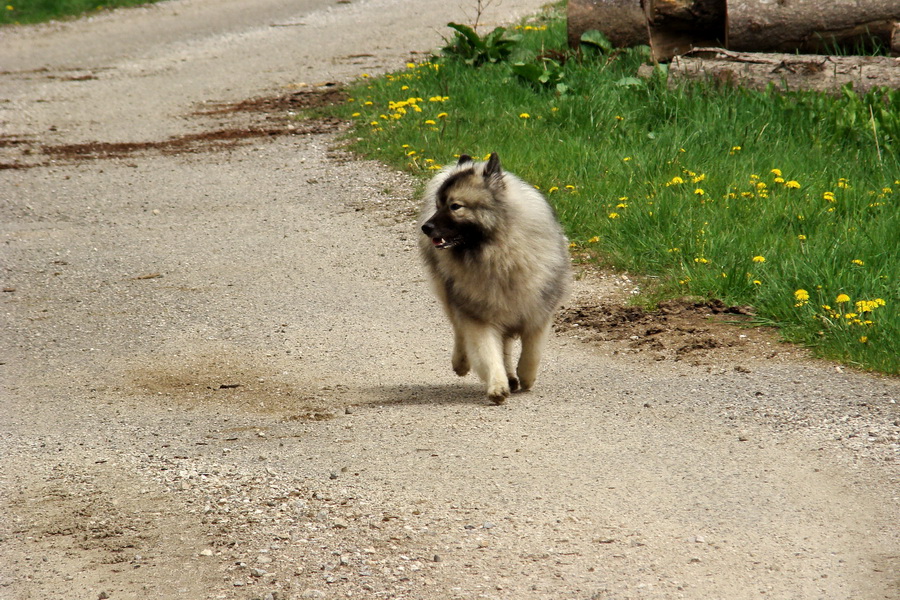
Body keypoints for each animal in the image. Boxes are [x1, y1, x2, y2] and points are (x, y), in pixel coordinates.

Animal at [420, 152, 572, 406]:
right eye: (437, 205)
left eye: (455, 206)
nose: (426, 227)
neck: (500, 252)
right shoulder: (479, 316)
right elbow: (488, 353)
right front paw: (497, 386)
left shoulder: (537, 312)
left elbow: (532, 352)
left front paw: (526, 377)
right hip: (452, 297)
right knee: (461, 333)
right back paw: (463, 363)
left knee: (506, 345)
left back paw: (512, 376)